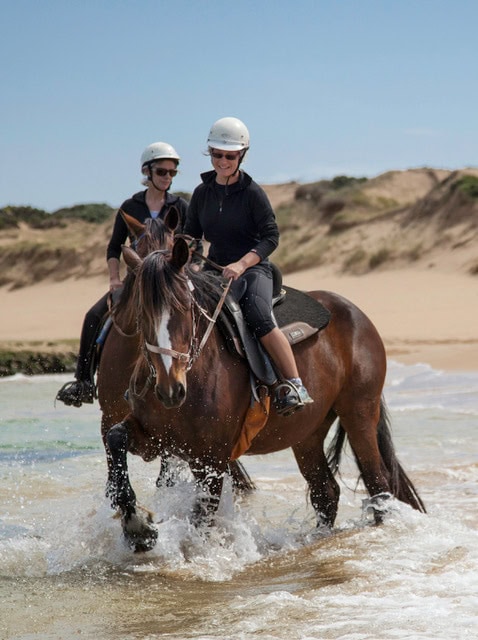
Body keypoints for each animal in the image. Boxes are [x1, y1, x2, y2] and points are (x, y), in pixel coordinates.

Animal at [107, 235, 426, 552]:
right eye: (142, 312)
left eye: (185, 307)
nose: (170, 389)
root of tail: (354, 313)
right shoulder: (157, 441)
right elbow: (115, 438)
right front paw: (136, 526)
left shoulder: (210, 459)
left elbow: (202, 518)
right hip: (307, 433)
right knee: (326, 491)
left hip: (358, 414)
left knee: (378, 485)